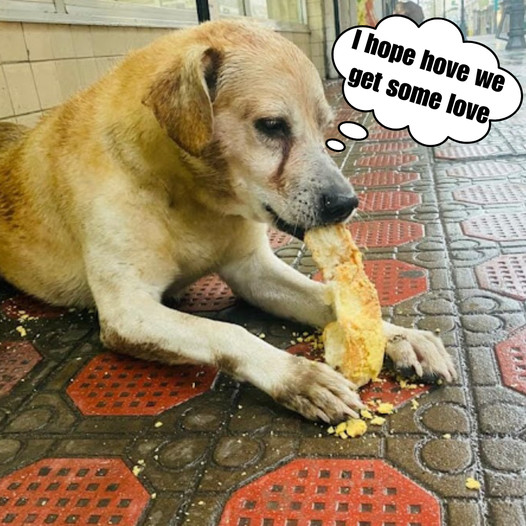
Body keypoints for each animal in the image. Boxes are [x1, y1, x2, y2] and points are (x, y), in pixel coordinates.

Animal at [0, 19, 458, 424]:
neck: (191, 198)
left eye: (325, 127)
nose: (346, 203)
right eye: (272, 126)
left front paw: (399, 336)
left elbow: (328, 297)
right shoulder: (127, 311)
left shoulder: (253, 271)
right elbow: (227, 333)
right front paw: (298, 377)